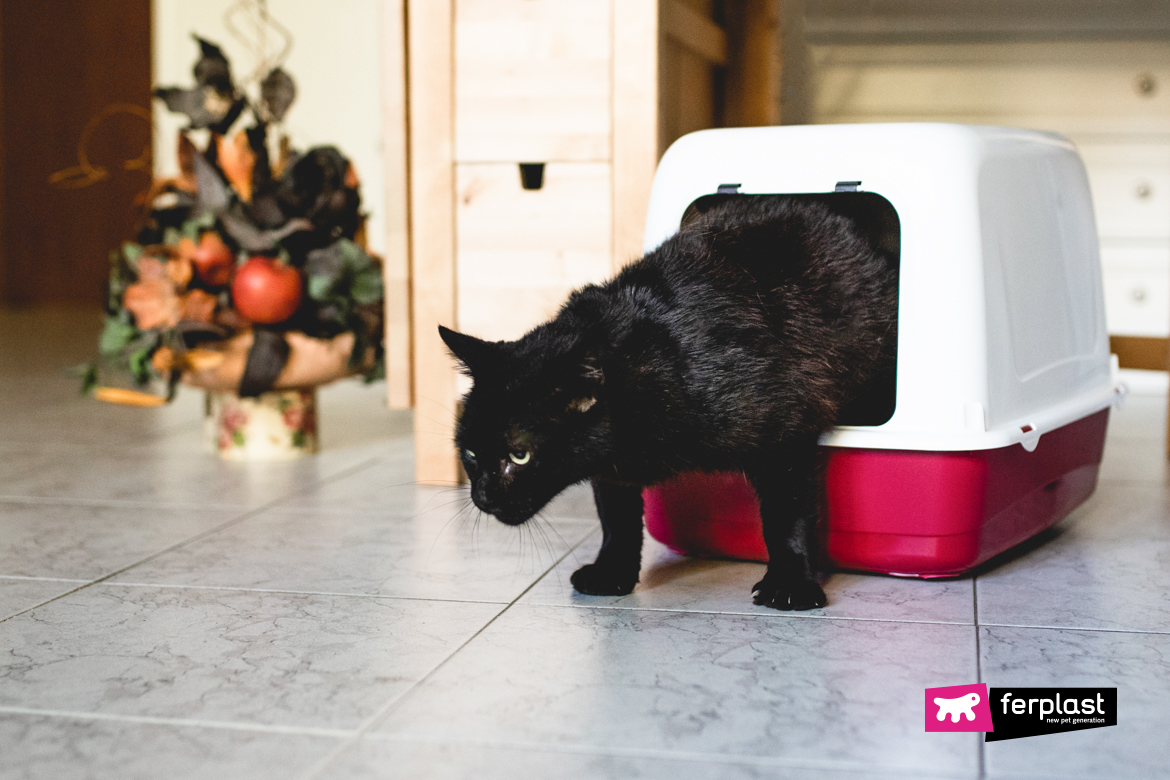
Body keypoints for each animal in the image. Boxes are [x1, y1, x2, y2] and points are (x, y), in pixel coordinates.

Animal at [439, 195, 893, 608]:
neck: (658, 365)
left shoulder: (785, 435)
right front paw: (612, 572)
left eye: (520, 456)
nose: (483, 497)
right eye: (471, 453)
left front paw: (790, 583)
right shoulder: (611, 466)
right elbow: (616, 519)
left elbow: (786, 514)